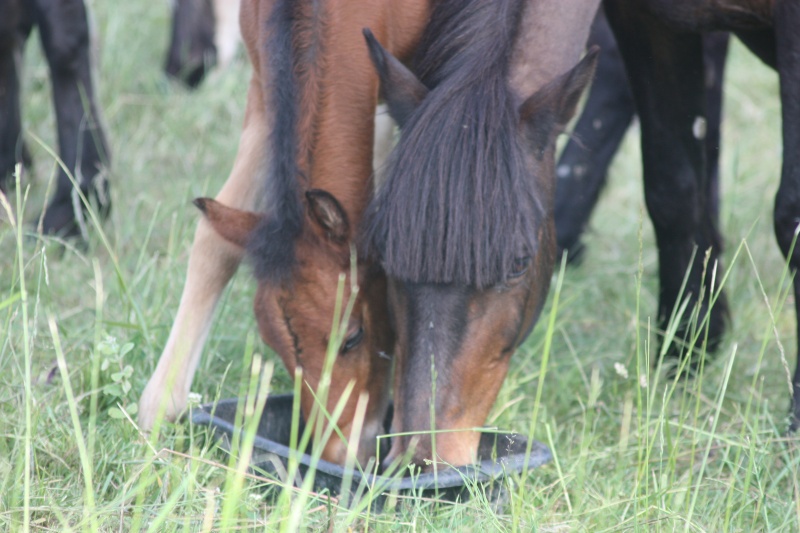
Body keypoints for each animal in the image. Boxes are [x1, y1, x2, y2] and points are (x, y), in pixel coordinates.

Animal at [144, 0, 432, 466]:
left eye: (353, 336)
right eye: (277, 348)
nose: (337, 455)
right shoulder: (265, 88)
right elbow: (214, 241)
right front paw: (159, 408)